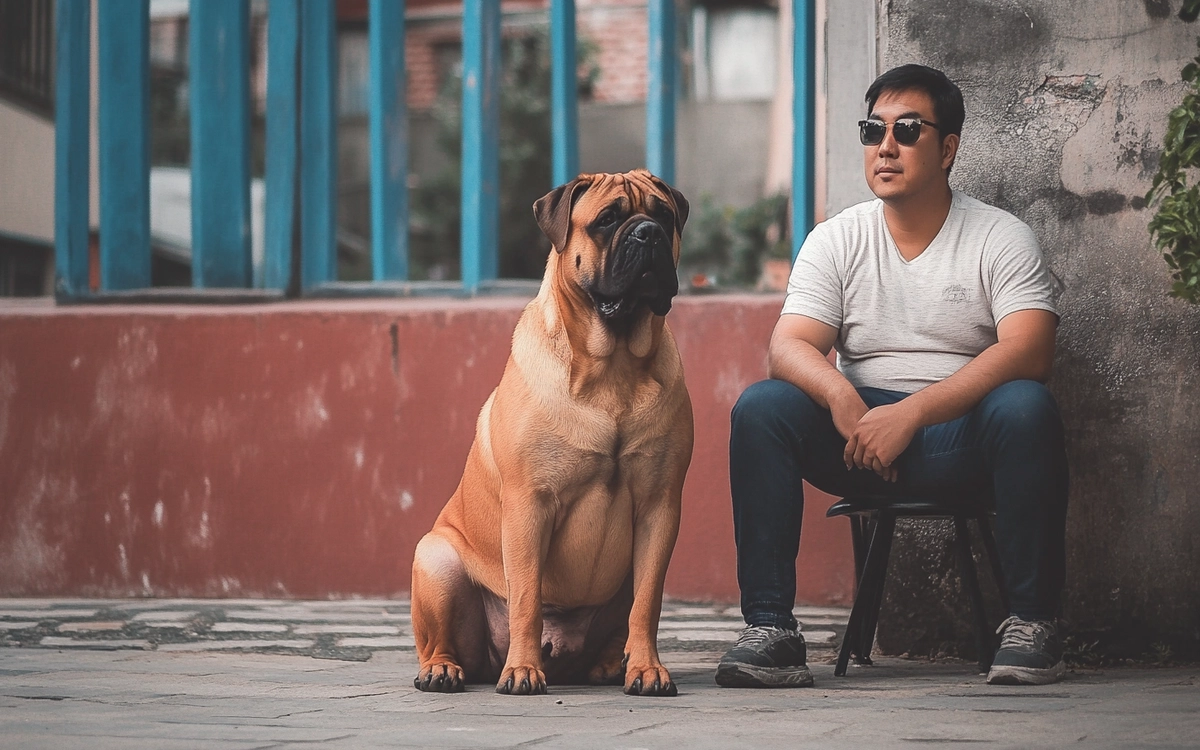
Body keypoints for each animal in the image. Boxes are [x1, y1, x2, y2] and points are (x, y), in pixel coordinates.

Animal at [412, 169, 696, 696]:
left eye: (664, 216)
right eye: (607, 220)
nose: (647, 233)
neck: (613, 366)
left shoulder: (659, 508)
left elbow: (647, 603)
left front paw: (647, 668)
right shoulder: (530, 504)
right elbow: (527, 598)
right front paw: (523, 670)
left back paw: (611, 665)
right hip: (436, 561)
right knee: (442, 641)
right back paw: (444, 669)